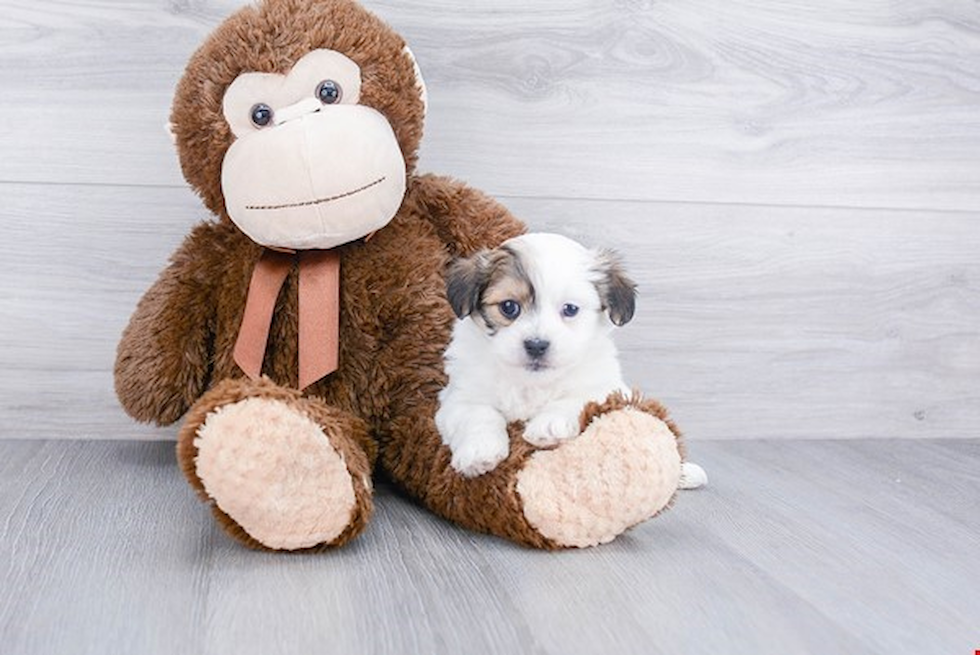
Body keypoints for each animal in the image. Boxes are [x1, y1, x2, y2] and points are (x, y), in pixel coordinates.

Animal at [436, 231, 704, 486]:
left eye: (570, 309)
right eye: (509, 307)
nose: (536, 345)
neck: (530, 383)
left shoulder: (606, 388)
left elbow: (579, 399)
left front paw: (548, 424)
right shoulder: (457, 397)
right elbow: (477, 414)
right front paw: (479, 451)